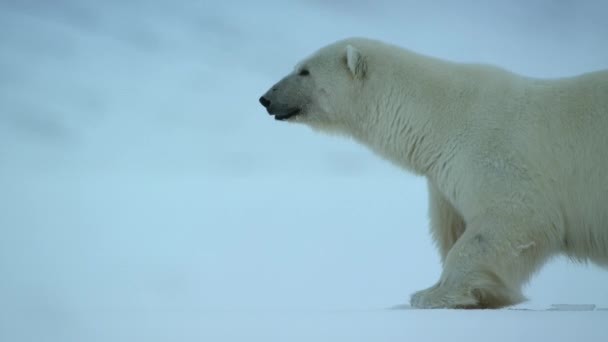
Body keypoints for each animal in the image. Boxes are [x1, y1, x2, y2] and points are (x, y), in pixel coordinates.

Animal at [258, 37, 608, 310]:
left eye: (304, 71)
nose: (266, 98)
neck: (441, 118)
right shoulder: (444, 179)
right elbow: (453, 229)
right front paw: (473, 292)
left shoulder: (496, 156)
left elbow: (514, 219)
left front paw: (431, 295)